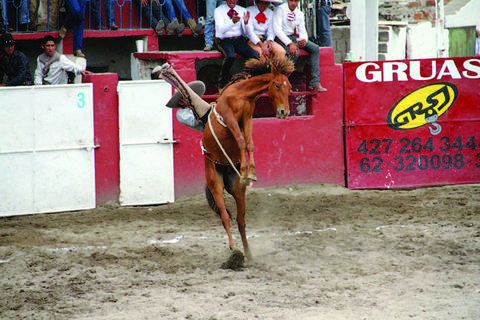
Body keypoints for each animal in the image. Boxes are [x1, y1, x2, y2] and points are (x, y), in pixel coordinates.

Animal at [202, 55, 292, 260]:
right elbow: (241, 141)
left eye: (289, 86)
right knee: (225, 217)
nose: (284, 112)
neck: (241, 94)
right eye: (277, 85)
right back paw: (234, 248)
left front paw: (250, 172)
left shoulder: (247, 117)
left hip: (236, 189)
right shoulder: (230, 118)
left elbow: (249, 143)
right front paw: (244, 170)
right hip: (215, 183)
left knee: (240, 220)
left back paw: (248, 253)